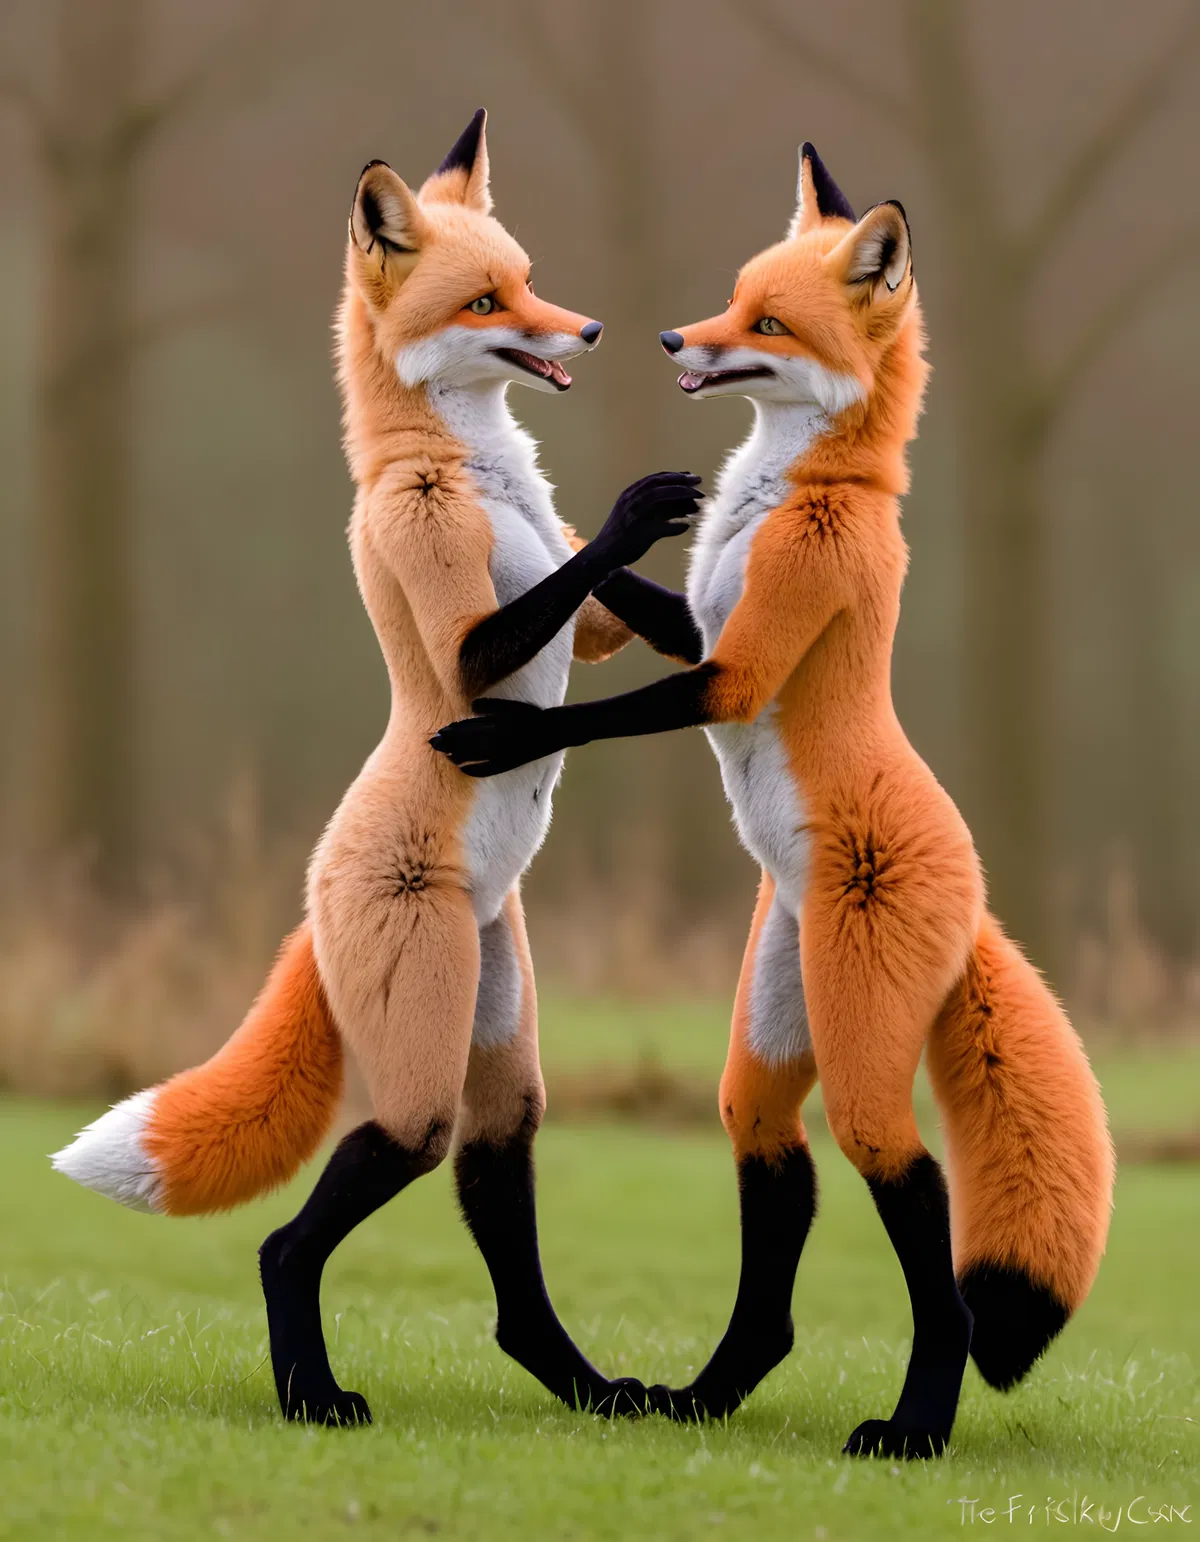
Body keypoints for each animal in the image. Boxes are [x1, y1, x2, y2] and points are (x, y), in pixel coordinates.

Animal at [51, 108, 701, 1425]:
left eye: (531, 280)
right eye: (492, 299)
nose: (592, 331)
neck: (471, 469)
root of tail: (314, 895)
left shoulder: (586, 623)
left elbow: (605, 603)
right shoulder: (438, 567)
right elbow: (518, 618)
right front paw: (637, 509)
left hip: (500, 1043)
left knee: (503, 1231)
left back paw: (584, 1385)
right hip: (416, 1065)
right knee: (295, 1233)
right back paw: (312, 1392)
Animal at [432, 143, 1115, 1459]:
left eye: (764, 323)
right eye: (730, 304)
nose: (662, 337)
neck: (794, 491)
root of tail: (975, 898)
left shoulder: (754, 646)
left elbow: (618, 705)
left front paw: (503, 732)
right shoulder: (706, 625)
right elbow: (642, 599)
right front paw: (602, 523)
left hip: (860, 1053)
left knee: (921, 1222)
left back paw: (915, 1427)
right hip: (775, 1015)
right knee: (770, 1179)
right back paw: (705, 1396)